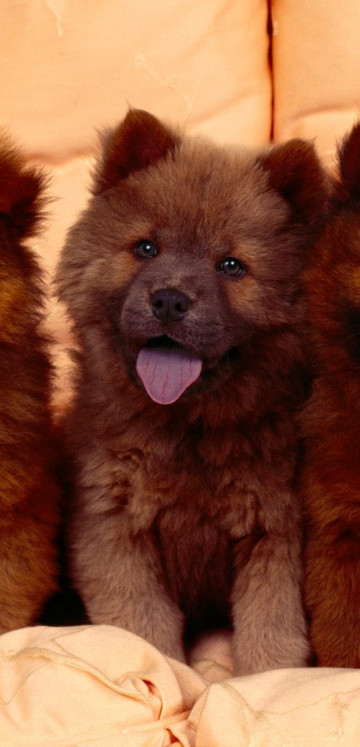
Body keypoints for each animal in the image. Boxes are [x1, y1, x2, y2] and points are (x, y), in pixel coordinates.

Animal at [55, 108, 326, 676]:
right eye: (146, 248)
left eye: (231, 266)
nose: (170, 300)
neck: (189, 427)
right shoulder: (113, 525)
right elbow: (141, 626)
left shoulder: (275, 530)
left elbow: (272, 633)